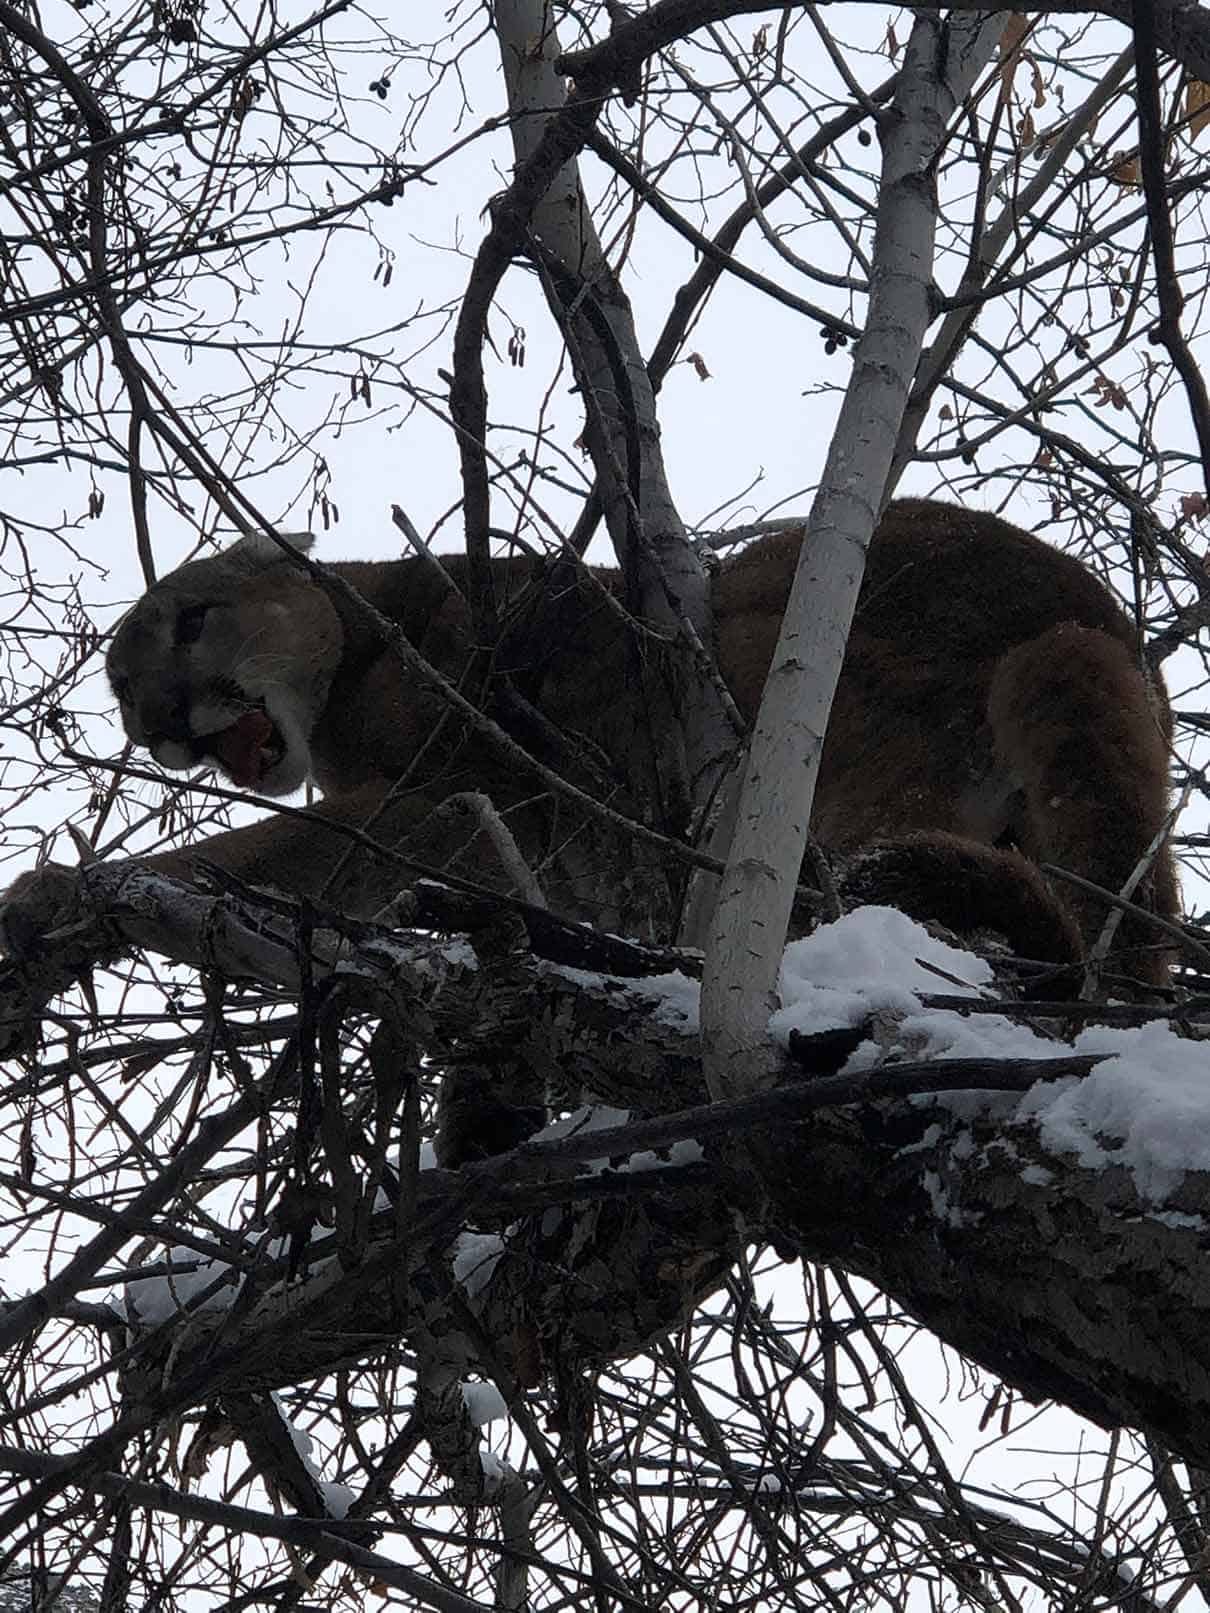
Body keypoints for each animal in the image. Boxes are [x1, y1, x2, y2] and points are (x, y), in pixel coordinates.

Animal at [0, 499, 1179, 992]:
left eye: (192, 621)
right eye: (118, 692)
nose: (157, 725)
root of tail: (1083, 616)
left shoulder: (439, 790)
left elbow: (251, 856)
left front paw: (61, 888)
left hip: (790, 658)